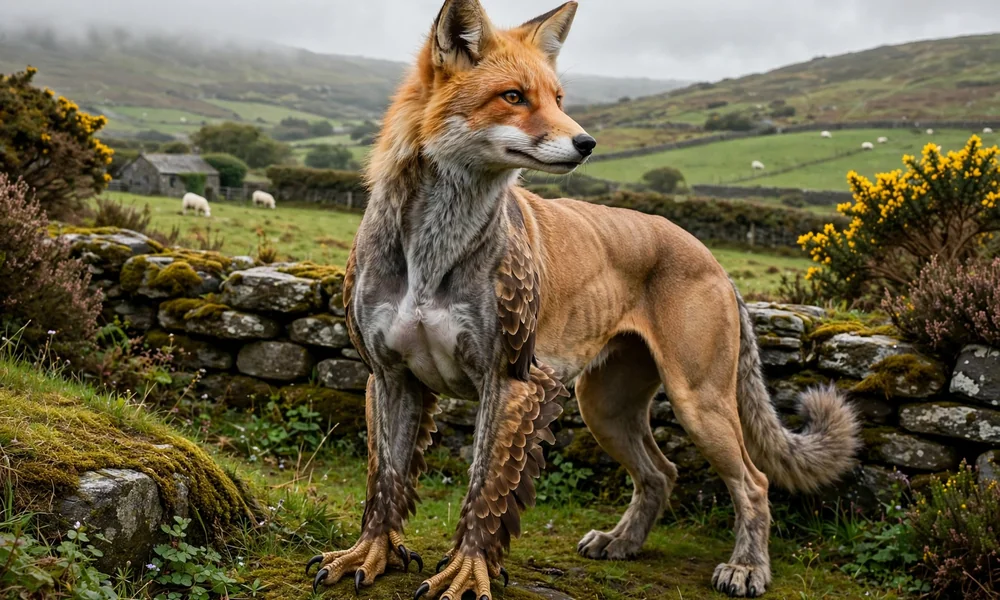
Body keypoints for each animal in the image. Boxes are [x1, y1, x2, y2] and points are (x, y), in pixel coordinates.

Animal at [304, 0, 861, 598]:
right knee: (661, 473)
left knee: (753, 482)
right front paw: (371, 554)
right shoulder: (389, 377)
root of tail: (712, 257)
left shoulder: (513, 382)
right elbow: (384, 479)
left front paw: (467, 572)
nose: (587, 143)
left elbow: (484, 493)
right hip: (603, 406)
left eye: (558, 98)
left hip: (699, 402)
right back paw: (622, 542)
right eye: (514, 96)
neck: (435, 243)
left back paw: (747, 568)